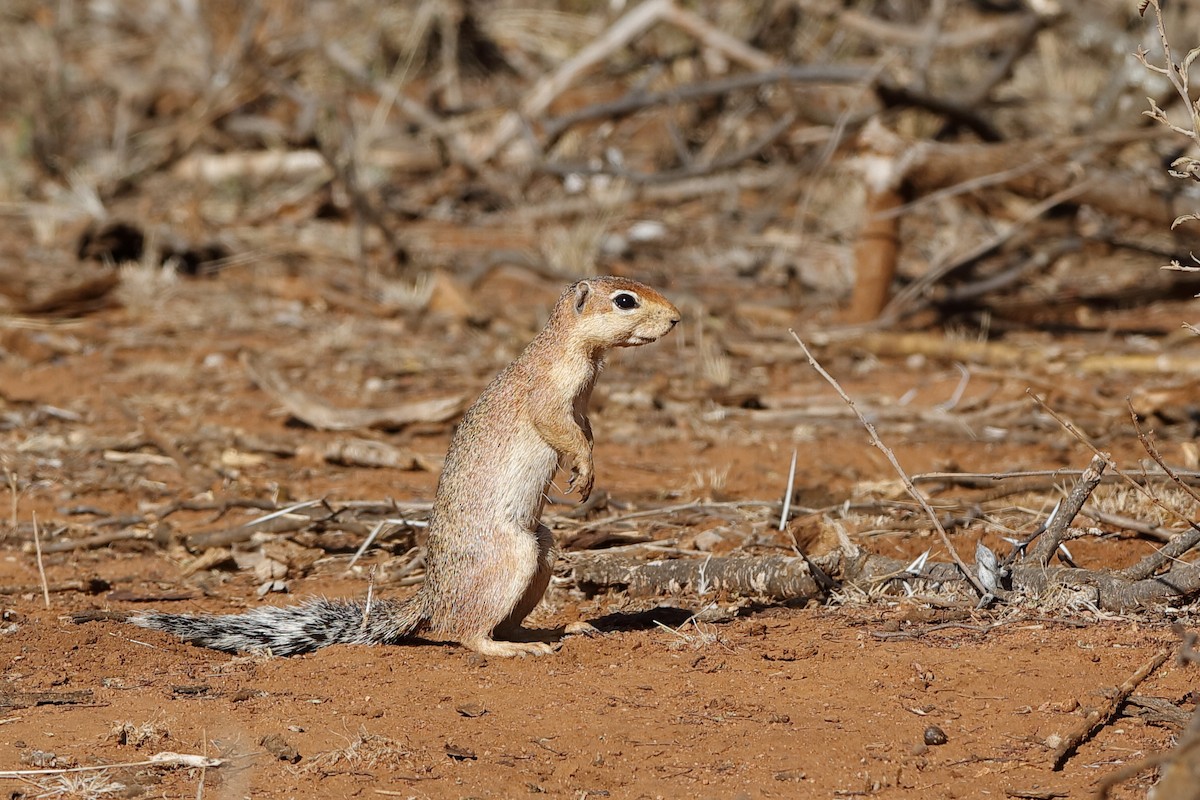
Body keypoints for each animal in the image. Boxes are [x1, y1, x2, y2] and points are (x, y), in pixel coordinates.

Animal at [111, 276, 680, 657]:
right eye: (625, 300)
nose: (677, 318)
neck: (573, 351)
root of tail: (429, 597)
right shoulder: (549, 400)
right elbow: (563, 433)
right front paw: (582, 470)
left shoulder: (582, 407)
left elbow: (586, 432)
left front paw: (590, 468)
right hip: (513, 559)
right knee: (463, 631)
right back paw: (513, 648)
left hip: (541, 552)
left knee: (497, 622)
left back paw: (557, 630)